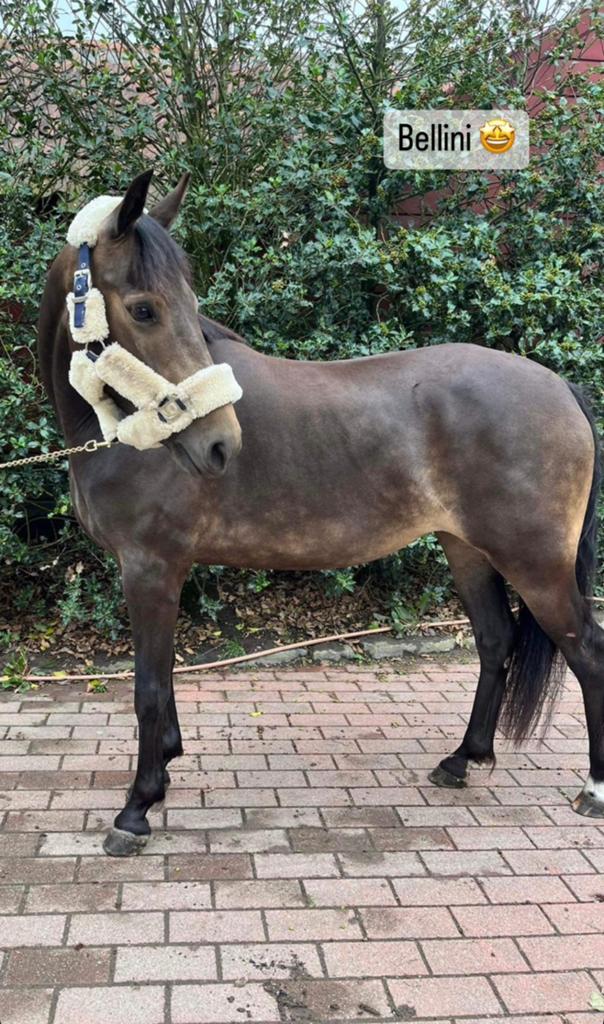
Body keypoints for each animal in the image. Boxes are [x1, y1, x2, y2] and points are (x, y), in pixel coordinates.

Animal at [38, 168, 603, 857]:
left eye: (188, 307)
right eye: (145, 308)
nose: (221, 445)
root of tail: (561, 387)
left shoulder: (149, 568)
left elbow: (147, 689)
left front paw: (137, 808)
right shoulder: (161, 573)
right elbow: (165, 681)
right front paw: (165, 771)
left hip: (537, 564)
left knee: (588, 654)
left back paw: (593, 791)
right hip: (466, 549)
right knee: (496, 640)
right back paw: (461, 761)